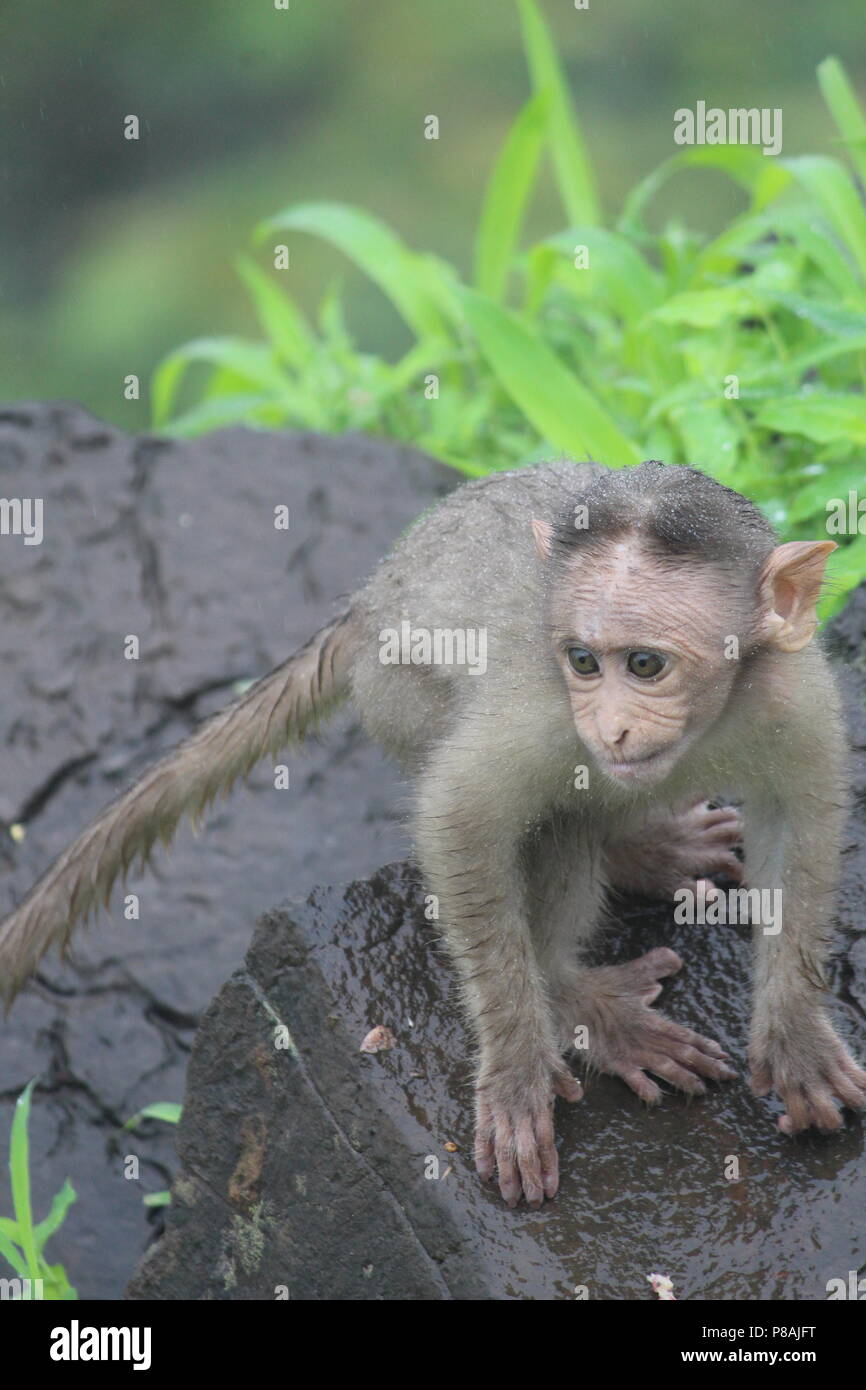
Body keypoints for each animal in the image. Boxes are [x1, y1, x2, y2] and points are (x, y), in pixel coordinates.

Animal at [1, 458, 864, 1210]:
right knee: (559, 818)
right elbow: (461, 818)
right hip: (397, 697)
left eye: (646, 665)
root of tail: (367, 601)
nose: (612, 727)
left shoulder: (793, 690)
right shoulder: (544, 706)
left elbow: (803, 814)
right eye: (585, 662)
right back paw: (582, 993)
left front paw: (795, 1038)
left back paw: (642, 851)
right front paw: (520, 1064)